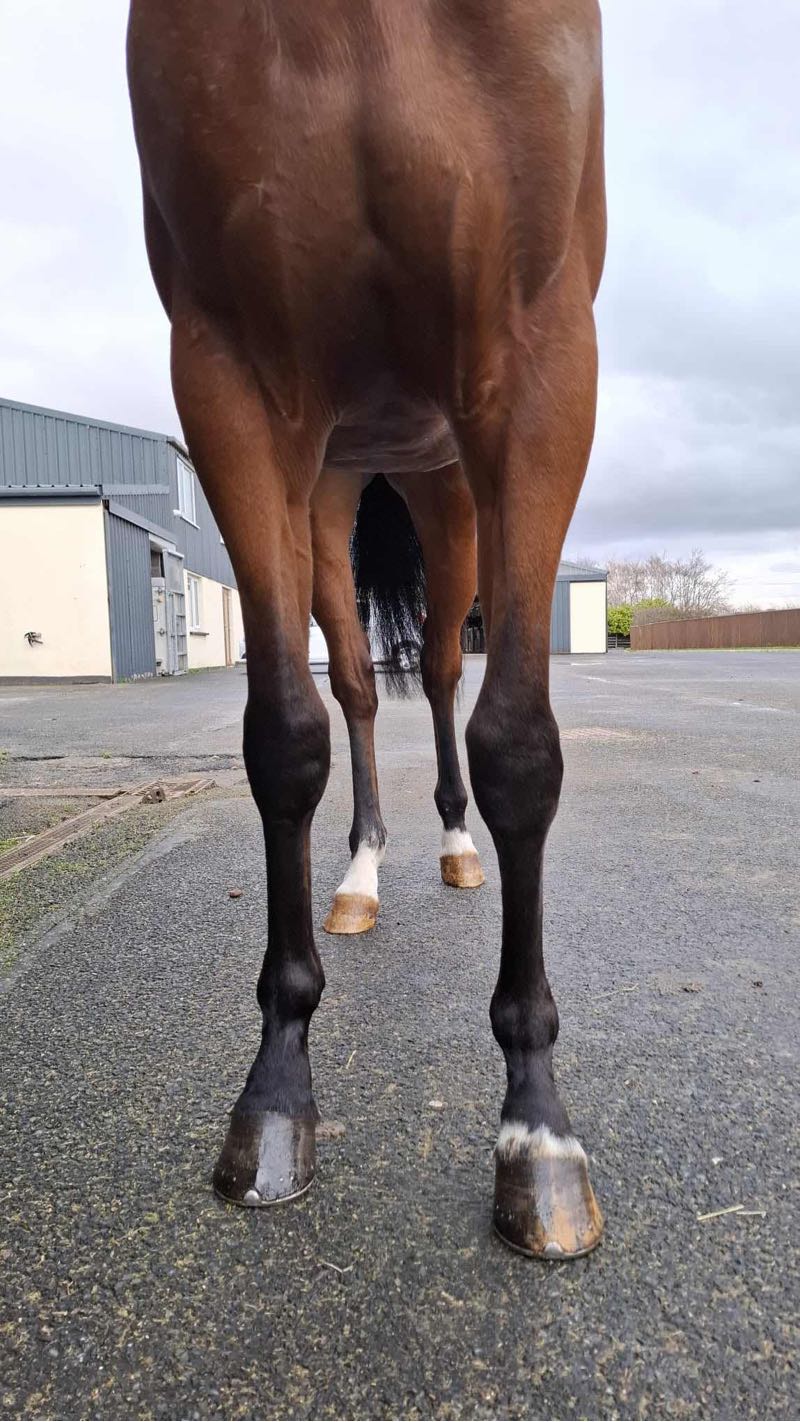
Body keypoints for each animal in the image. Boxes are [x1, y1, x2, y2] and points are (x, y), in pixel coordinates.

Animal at [127, 0, 607, 1260]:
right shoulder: (233, 380)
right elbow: (283, 738)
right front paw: (275, 1091)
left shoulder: (539, 356)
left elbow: (516, 747)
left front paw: (535, 1130)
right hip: (331, 492)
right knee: (349, 683)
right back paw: (362, 872)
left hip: (446, 492)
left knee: (438, 670)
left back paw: (449, 846)